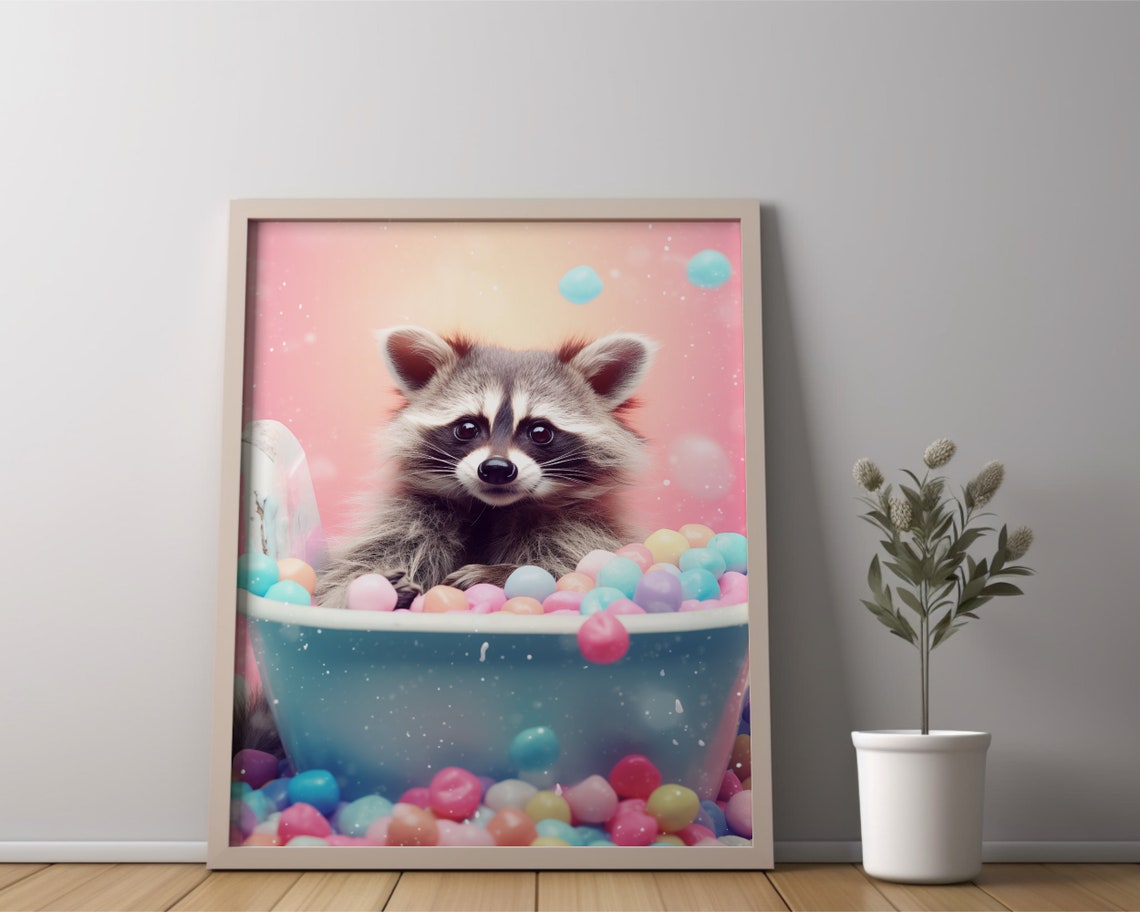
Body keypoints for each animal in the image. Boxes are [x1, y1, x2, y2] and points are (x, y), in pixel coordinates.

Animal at [314, 325, 657, 610]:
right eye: (467, 428)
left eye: (540, 432)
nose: (496, 468)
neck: (491, 509)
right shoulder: (407, 519)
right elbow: (345, 577)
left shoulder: (583, 528)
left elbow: (569, 567)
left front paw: (499, 575)